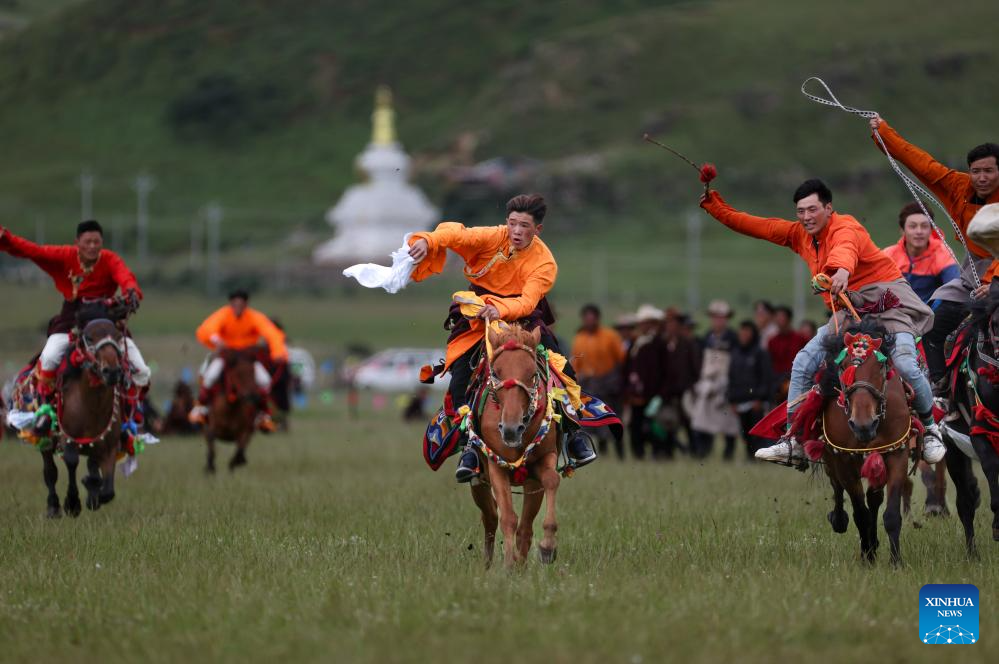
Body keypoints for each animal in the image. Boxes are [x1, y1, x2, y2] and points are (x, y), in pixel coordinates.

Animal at [41, 318, 127, 520]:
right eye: (89, 338)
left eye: (118, 336)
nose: (112, 371)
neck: (91, 406)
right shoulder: (68, 439)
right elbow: (71, 462)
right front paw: (72, 503)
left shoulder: (110, 446)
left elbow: (108, 491)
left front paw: (92, 493)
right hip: (46, 440)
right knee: (50, 472)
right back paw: (53, 507)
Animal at [466, 324, 564, 568]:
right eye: (496, 373)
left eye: (532, 374)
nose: (511, 430)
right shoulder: (496, 466)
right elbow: (508, 517)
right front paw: (509, 564)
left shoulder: (543, 460)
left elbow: (552, 480)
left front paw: (547, 547)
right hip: (478, 482)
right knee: (491, 517)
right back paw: (489, 563)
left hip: (530, 483)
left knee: (525, 528)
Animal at [812, 324, 920, 564]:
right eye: (843, 366)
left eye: (880, 366)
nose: (863, 425)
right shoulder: (843, 460)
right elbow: (860, 512)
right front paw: (867, 556)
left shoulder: (896, 454)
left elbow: (890, 514)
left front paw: (896, 561)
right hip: (830, 457)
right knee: (838, 488)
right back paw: (840, 520)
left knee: (874, 498)